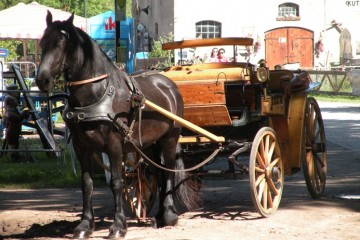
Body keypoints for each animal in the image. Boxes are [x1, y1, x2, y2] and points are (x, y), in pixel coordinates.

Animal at [36, 10, 198, 238]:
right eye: (42, 43)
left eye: (60, 44)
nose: (42, 80)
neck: (98, 94)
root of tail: (168, 84)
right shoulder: (81, 146)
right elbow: (87, 184)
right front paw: (85, 225)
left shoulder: (113, 144)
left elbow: (116, 182)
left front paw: (119, 226)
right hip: (148, 145)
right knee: (157, 172)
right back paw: (158, 217)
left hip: (169, 138)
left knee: (168, 171)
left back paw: (169, 215)